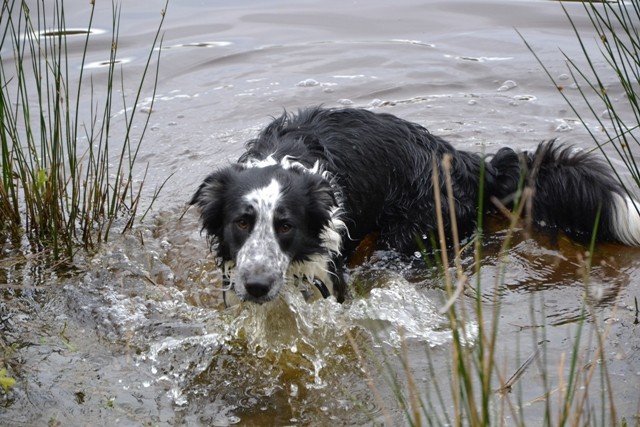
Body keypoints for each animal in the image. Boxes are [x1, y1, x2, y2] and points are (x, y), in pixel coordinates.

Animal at [190, 108, 640, 308]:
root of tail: (465, 163)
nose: (257, 286)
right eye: (242, 222)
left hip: (413, 232)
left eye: (286, 226)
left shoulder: (326, 274)